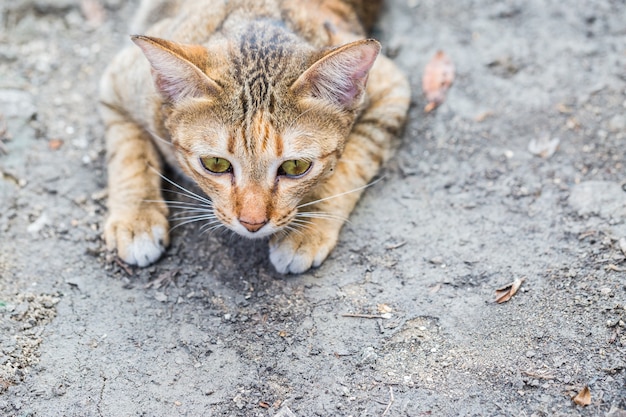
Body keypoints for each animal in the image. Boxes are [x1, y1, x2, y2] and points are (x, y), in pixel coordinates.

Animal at [97, 0, 410, 274]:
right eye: (215, 164)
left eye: (295, 167)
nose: (252, 222)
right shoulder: (119, 81)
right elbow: (129, 153)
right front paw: (136, 218)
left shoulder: (391, 88)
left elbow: (349, 166)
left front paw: (306, 229)